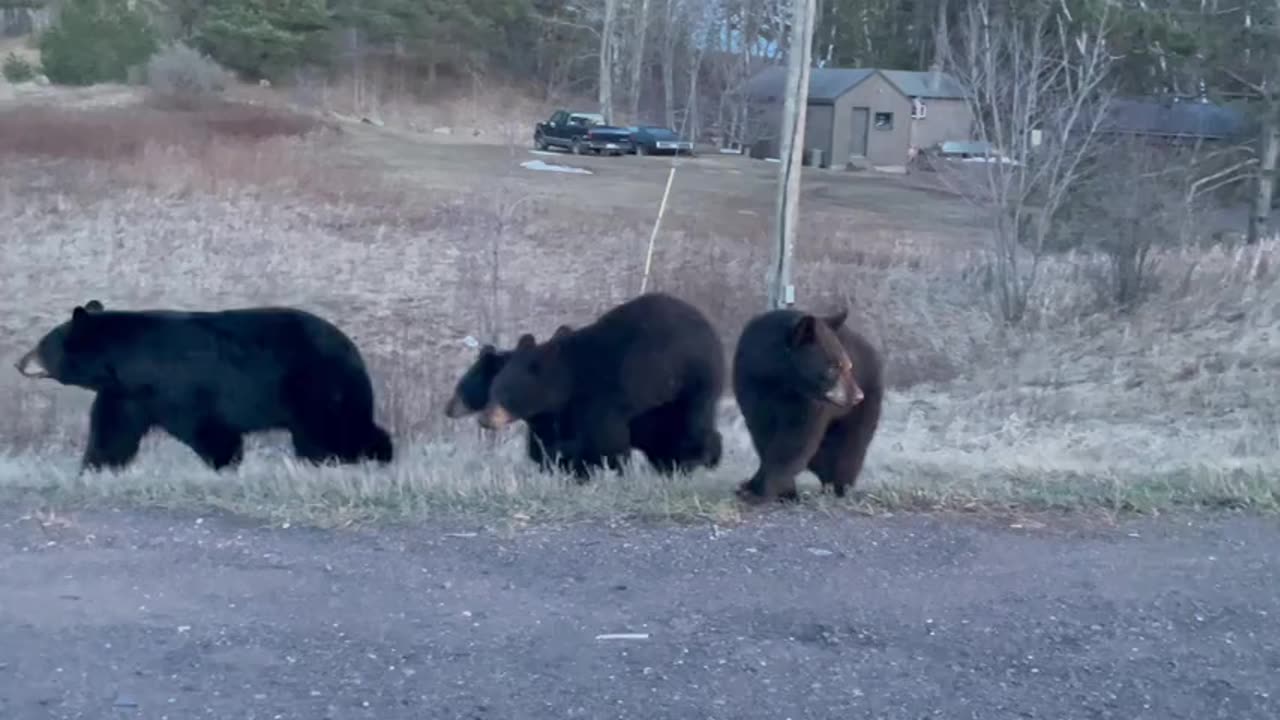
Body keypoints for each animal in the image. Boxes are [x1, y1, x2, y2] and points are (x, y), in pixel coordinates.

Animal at [15, 298, 391, 471]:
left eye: (41, 345)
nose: (19, 362)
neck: (125, 361)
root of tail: (352, 348)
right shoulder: (127, 394)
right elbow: (113, 431)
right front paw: (95, 467)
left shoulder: (175, 388)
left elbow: (206, 428)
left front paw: (225, 463)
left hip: (315, 386)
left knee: (335, 429)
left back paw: (372, 456)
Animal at [476, 292, 727, 476]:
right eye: (491, 391)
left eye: (505, 393)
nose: (484, 419)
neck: (568, 381)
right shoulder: (565, 410)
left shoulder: (602, 395)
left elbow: (604, 438)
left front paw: (604, 467)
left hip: (692, 379)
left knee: (692, 420)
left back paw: (697, 458)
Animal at [732, 304, 880, 502]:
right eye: (834, 367)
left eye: (848, 365)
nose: (857, 396)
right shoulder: (751, 385)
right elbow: (762, 433)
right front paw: (780, 491)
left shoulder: (807, 402)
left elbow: (796, 439)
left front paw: (760, 489)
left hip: (864, 399)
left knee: (849, 446)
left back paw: (839, 486)